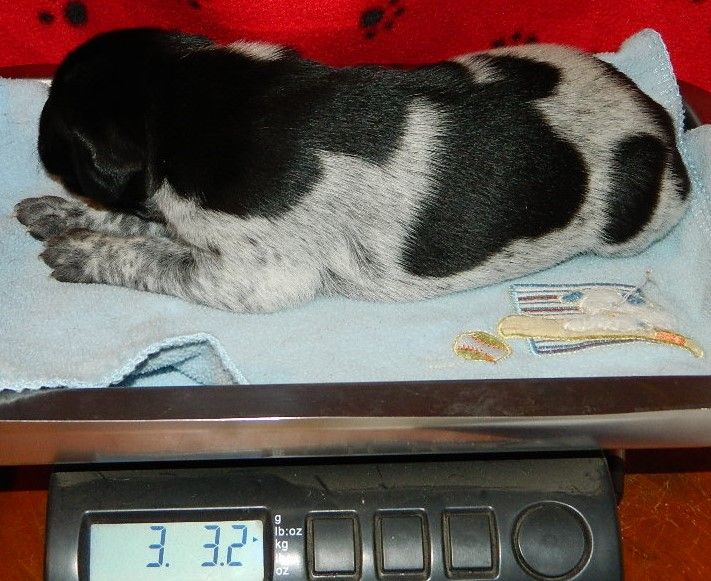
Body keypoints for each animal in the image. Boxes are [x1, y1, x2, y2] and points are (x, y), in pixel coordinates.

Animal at [16, 28, 690, 312]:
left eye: (59, 133)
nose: (36, 146)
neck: (181, 94)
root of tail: (662, 117)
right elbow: (143, 224)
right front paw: (59, 215)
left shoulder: (257, 274)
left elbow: (151, 254)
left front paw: (78, 250)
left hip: (632, 227)